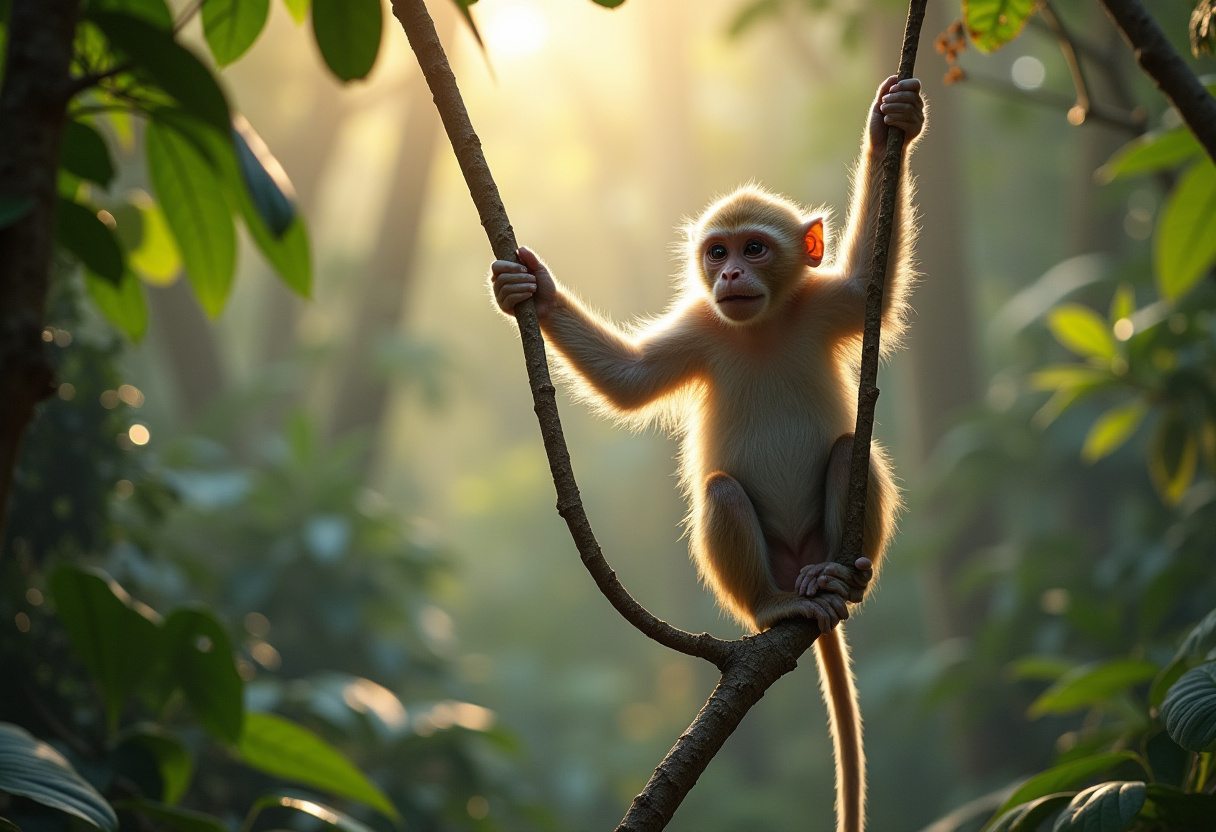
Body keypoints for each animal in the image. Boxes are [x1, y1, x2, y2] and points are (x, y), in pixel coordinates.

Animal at [491, 76, 924, 832]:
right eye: (716, 253)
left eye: (754, 248)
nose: (728, 278)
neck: (763, 324)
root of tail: (801, 565)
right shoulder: (703, 327)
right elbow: (630, 380)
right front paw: (530, 289)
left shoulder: (823, 304)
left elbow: (874, 284)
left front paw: (892, 122)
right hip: (769, 564)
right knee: (723, 492)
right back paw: (774, 608)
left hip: (825, 536)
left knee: (848, 452)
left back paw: (846, 577)